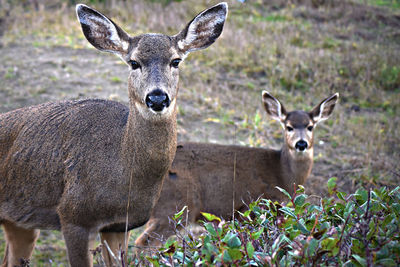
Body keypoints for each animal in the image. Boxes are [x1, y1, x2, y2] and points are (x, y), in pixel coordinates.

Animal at [0, 2, 228, 267]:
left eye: (176, 61)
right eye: (134, 62)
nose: (157, 98)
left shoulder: (120, 225)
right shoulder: (73, 216)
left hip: (19, 222)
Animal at [126, 91, 340, 250]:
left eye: (310, 126)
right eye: (288, 127)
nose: (301, 144)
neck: (282, 173)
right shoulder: (255, 206)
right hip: (177, 206)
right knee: (143, 243)